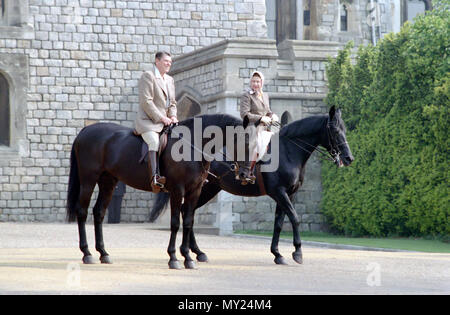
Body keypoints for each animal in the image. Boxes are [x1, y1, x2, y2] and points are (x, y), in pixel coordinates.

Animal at [66, 113, 250, 270]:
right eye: (246, 142)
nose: (245, 175)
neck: (191, 144)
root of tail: (85, 130)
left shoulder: (195, 191)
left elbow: (188, 222)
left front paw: (188, 258)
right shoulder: (177, 190)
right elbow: (175, 223)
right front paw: (174, 258)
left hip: (108, 182)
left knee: (99, 212)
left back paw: (103, 253)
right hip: (88, 180)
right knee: (82, 211)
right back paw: (87, 253)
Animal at [151, 107, 356, 266]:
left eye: (344, 129)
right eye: (335, 130)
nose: (349, 158)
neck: (288, 151)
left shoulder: (288, 194)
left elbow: (279, 223)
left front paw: (278, 254)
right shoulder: (279, 192)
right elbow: (295, 218)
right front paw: (297, 253)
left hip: (207, 189)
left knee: (189, 213)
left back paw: (197, 252)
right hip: (202, 190)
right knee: (187, 212)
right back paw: (194, 252)